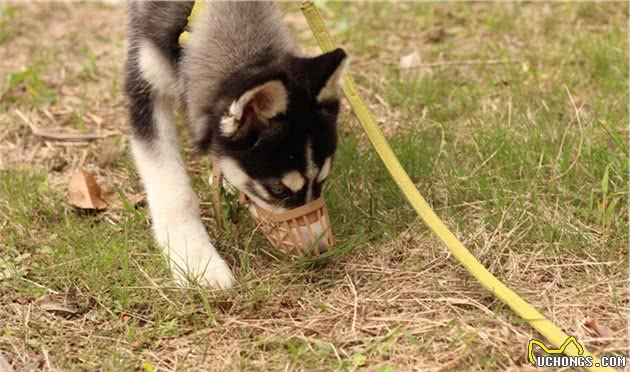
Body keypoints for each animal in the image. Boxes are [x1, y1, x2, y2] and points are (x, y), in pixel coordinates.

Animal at [125, 1, 348, 290]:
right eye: (277, 189)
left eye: (323, 179)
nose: (319, 250)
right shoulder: (143, 82)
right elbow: (172, 187)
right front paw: (195, 259)